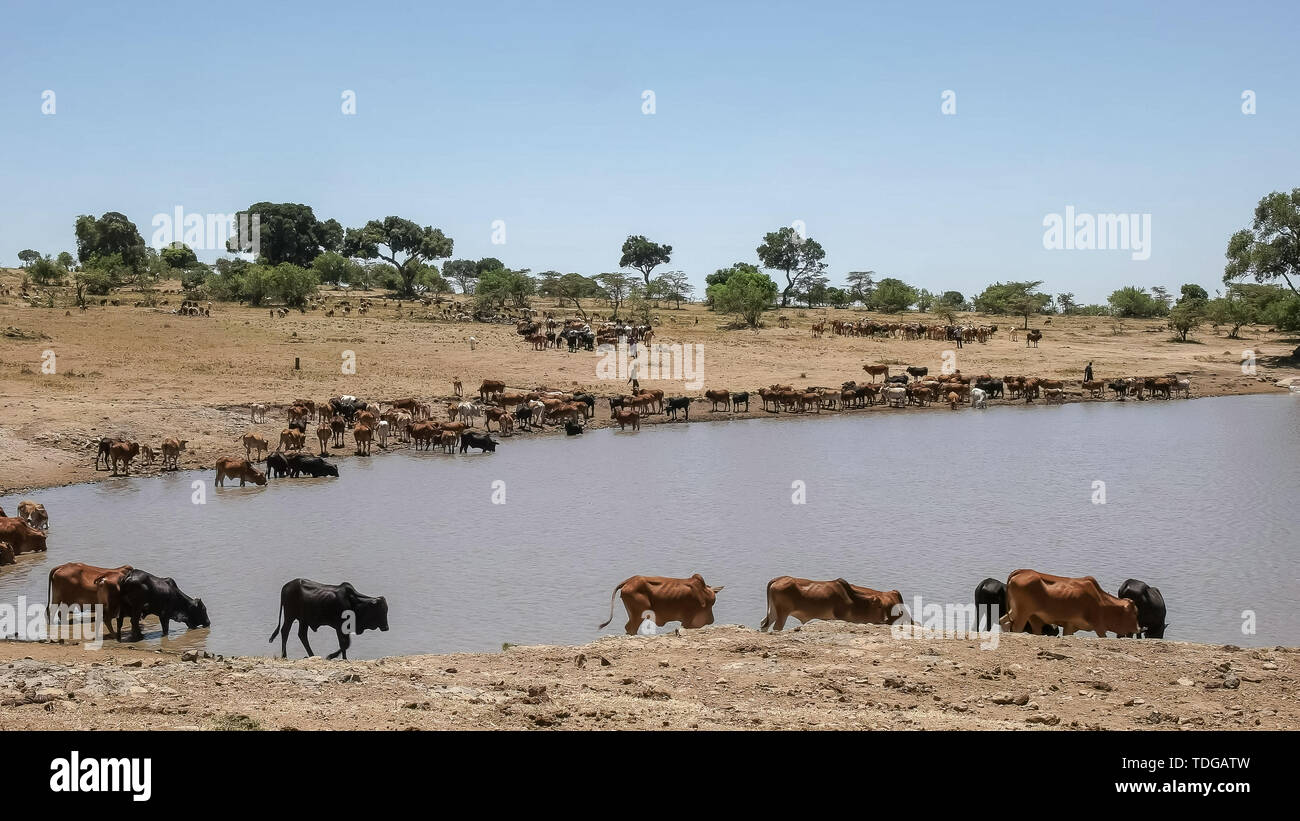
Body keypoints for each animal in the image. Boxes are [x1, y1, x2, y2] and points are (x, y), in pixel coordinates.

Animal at [595, 576, 728, 633]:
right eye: (710, 604)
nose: (711, 620)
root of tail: (629, 581)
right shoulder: (688, 618)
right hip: (639, 613)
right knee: (631, 628)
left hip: (632, 613)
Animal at [759, 576, 904, 633]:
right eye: (880, 606)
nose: (885, 620)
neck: (854, 601)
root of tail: (778, 579)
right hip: (782, 612)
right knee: (776, 627)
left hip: (773, 611)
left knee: (764, 624)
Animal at [1003, 566, 1138, 639]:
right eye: (1134, 613)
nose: (1138, 628)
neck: (1100, 602)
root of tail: (1022, 571)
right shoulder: (1099, 627)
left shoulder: (1070, 626)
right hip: (1023, 612)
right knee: (1016, 627)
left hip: (1015, 609)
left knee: (1004, 621)